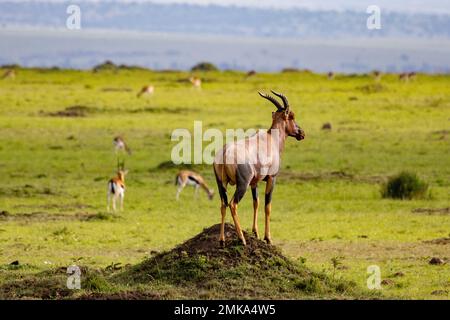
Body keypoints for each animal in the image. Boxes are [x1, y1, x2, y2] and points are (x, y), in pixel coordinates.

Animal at [213, 91, 304, 246]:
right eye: (291, 116)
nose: (301, 133)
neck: (271, 139)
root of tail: (225, 153)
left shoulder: (254, 182)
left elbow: (256, 202)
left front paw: (255, 232)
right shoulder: (272, 178)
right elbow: (268, 206)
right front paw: (268, 238)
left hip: (221, 183)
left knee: (223, 205)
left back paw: (222, 240)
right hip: (242, 184)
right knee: (233, 204)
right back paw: (242, 239)